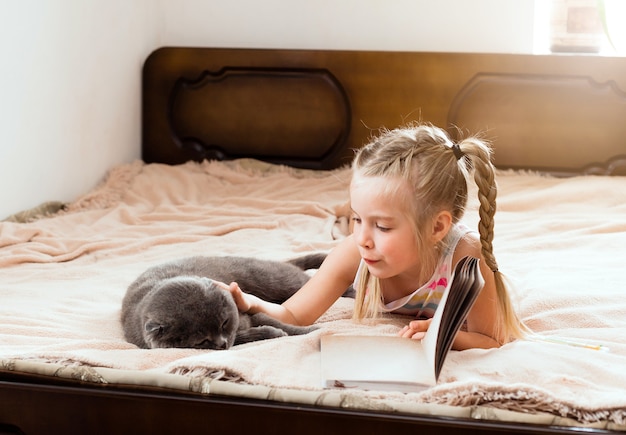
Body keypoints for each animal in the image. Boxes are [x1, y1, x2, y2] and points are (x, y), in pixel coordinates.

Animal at [119, 255, 338, 350]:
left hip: (276, 281)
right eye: (202, 341)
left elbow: (284, 324)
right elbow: (247, 335)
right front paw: (274, 334)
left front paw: (312, 331)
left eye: (224, 322)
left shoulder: (249, 314)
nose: (222, 343)